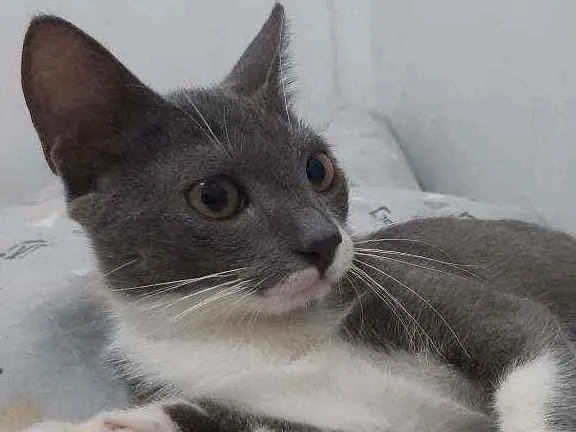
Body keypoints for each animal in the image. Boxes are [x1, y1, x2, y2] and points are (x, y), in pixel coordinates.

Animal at [20, 3, 576, 432]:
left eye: (318, 169)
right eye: (215, 196)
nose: (323, 240)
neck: (248, 330)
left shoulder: (428, 291)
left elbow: (532, 347)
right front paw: (89, 425)